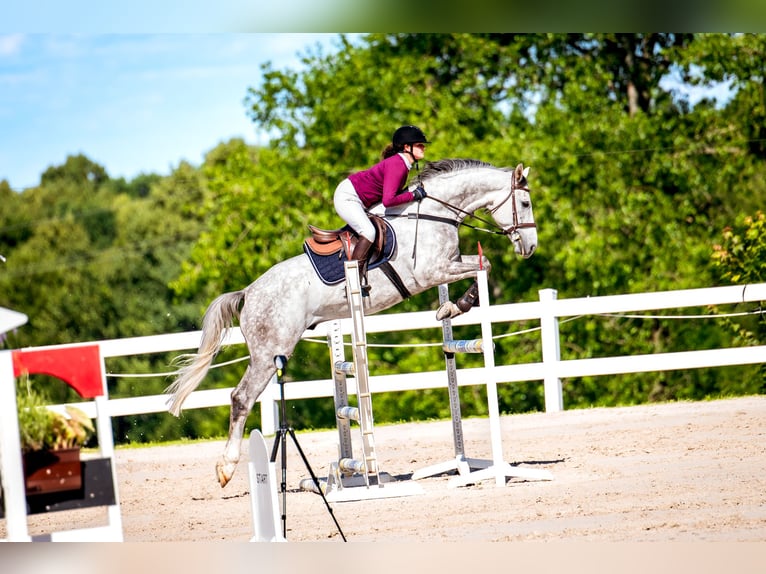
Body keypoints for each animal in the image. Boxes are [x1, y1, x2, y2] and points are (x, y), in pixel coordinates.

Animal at [168, 160, 540, 488]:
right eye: (524, 202)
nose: (530, 247)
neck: (434, 213)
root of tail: (248, 292)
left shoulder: (450, 264)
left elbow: (481, 264)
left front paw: (450, 308)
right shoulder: (432, 272)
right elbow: (483, 266)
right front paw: (453, 306)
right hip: (268, 352)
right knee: (241, 398)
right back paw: (226, 469)